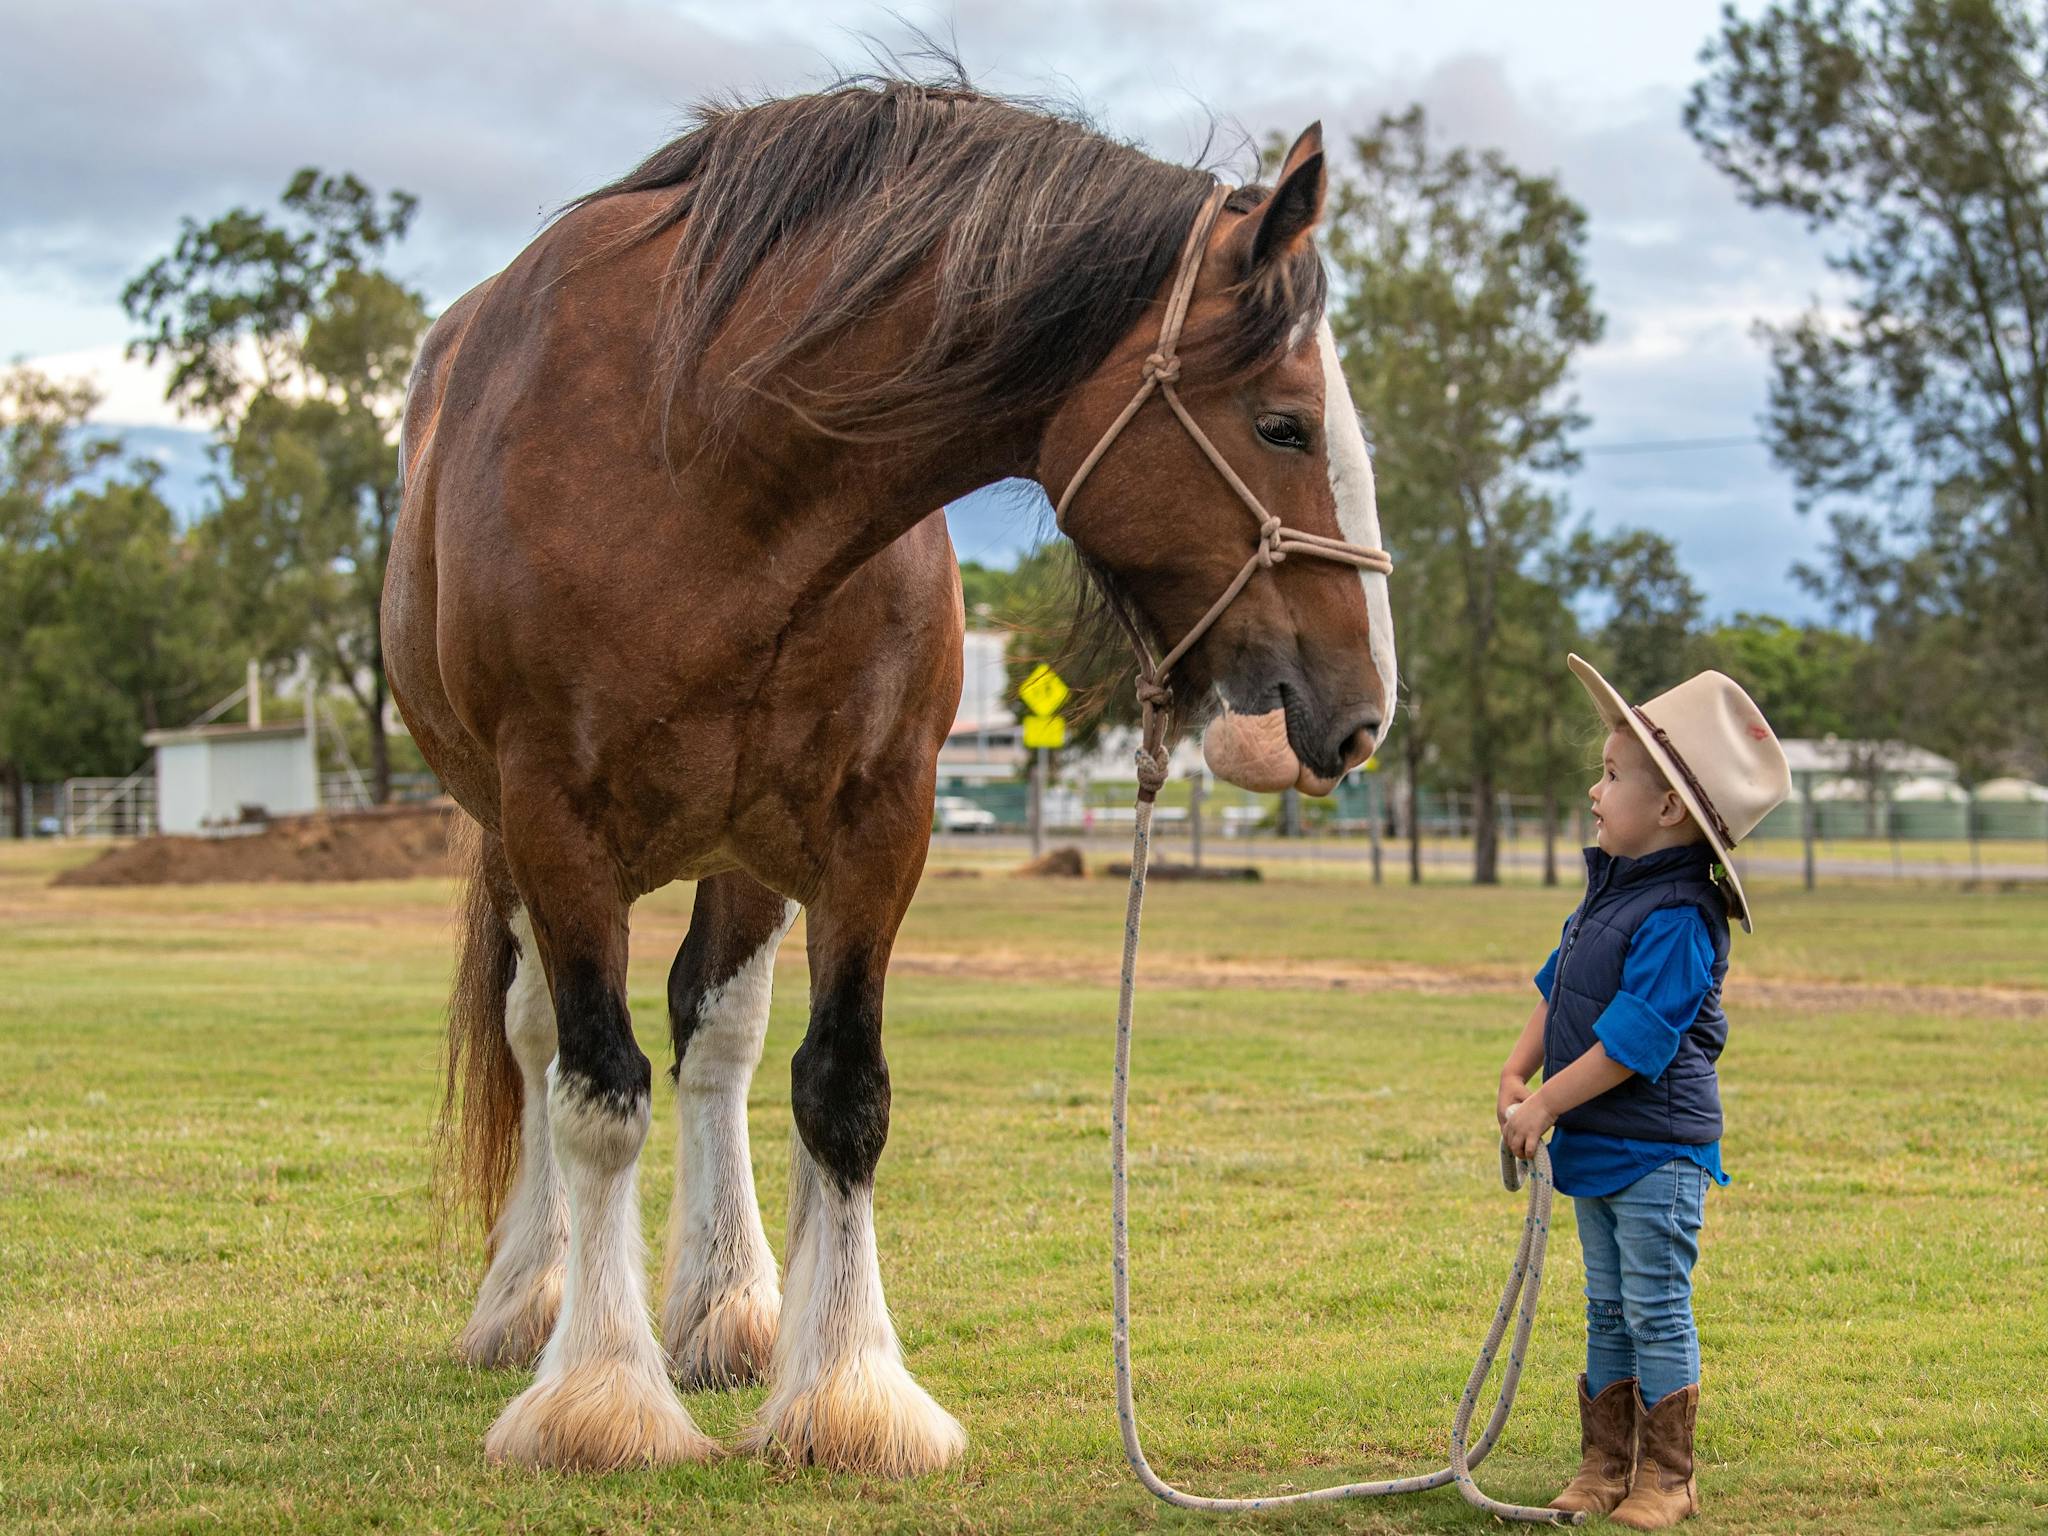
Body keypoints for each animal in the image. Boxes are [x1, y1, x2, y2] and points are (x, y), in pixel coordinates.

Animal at [384, 76, 1396, 1479]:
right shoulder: (555, 821)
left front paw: (845, 1389)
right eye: (1282, 422)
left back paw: (729, 1303)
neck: (701, 478)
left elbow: (839, 1094)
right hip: (516, 841)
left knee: (713, 1041)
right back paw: (531, 1297)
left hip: (744, 854)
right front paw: (597, 1397)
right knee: (538, 1037)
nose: (1363, 715)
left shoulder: (875, 830)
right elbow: (595, 1095)